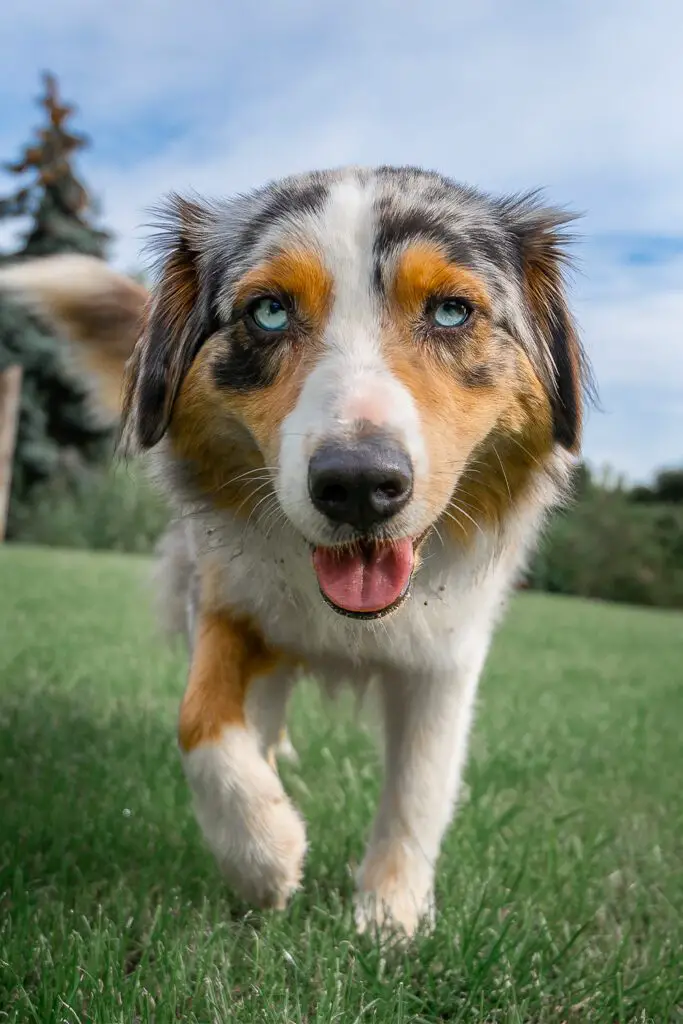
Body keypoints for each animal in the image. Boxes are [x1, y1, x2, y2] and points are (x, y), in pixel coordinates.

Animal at [0, 163, 589, 937]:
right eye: (270, 312)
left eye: (451, 312)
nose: (358, 484)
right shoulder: (226, 594)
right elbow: (198, 719)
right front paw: (263, 855)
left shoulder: (445, 653)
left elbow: (421, 783)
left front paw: (390, 915)